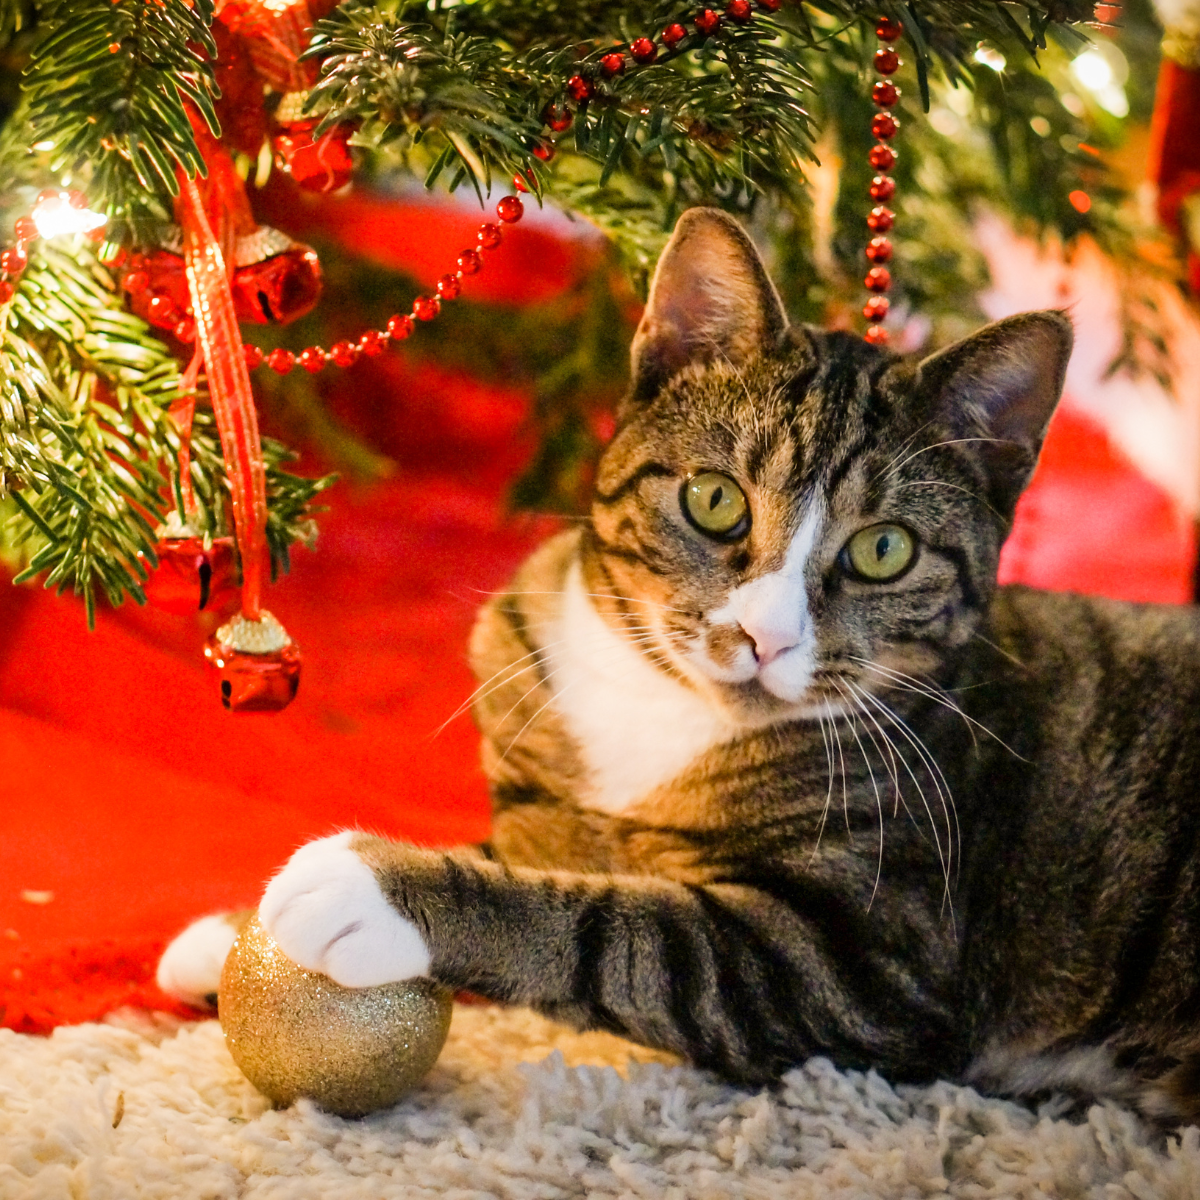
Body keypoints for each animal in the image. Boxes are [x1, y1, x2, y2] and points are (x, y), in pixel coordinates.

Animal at [162, 204, 1200, 1123]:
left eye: (884, 551)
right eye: (714, 499)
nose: (766, 635)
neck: (666, 710)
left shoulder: (869, 959)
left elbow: (623, 928)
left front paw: (369, 890)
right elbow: (521, 845)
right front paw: (234, 929)